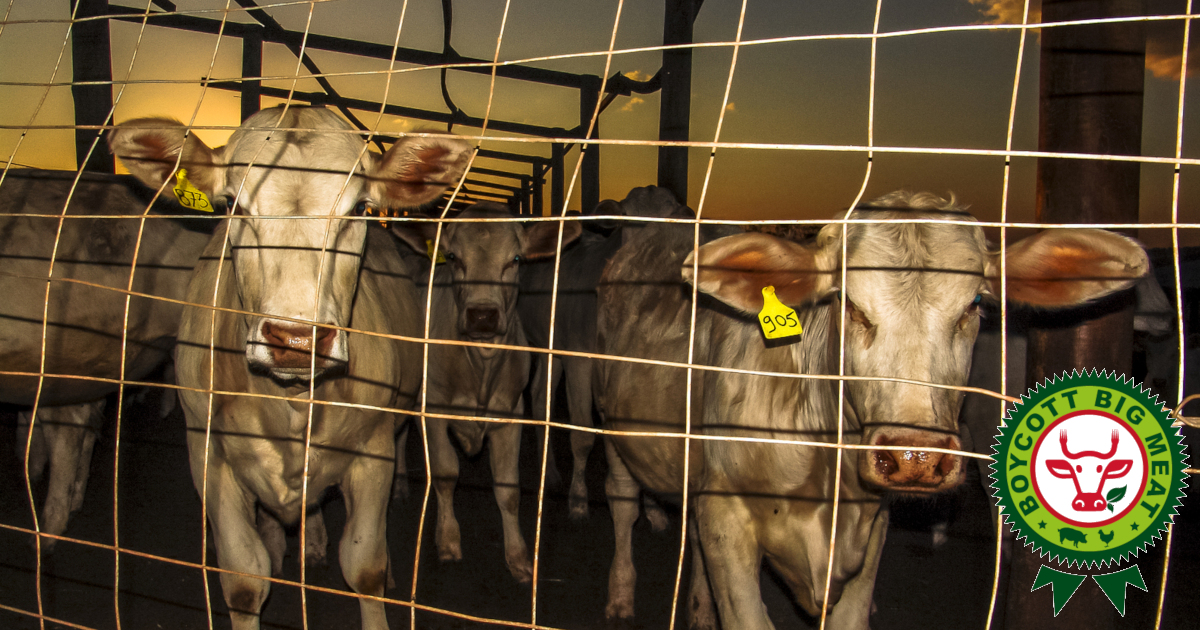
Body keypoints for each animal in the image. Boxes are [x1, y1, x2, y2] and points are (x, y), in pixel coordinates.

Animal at [110, 106, 470, 628]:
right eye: (233, 205)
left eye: (360, 209)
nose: (297, 340)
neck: (291, 401)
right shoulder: (208, 454)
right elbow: (243, 582)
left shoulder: (373, 452)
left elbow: (366, 568)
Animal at [595, 189, 1147, 624]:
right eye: (850, 304)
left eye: (974, 305)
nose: (915, 457)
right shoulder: (725, 514)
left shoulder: (870, 528)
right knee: (621, 504)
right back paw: (620, 594)